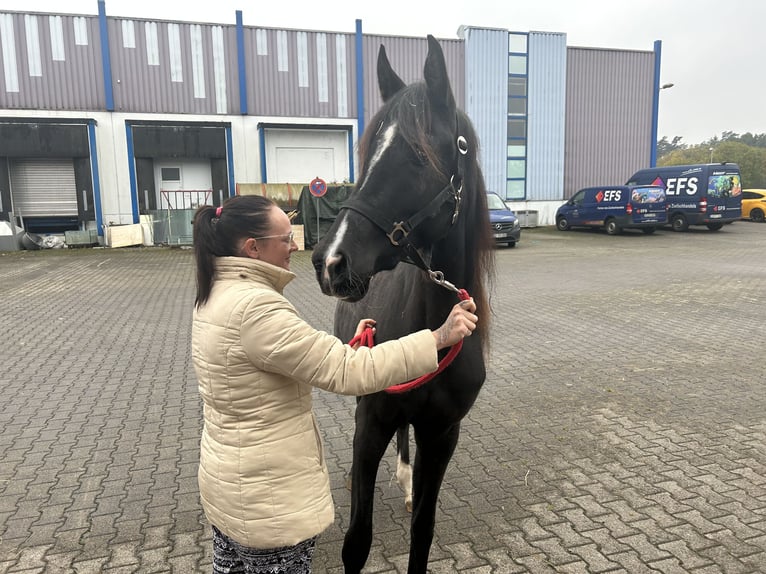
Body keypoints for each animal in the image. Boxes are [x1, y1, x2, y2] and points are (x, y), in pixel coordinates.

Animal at [316, 36, 496, 574]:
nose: (330, 261)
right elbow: (357, 539)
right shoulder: (370, 424)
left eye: (417, 156)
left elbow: (424, 533)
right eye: (367, 151)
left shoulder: (442, 435)